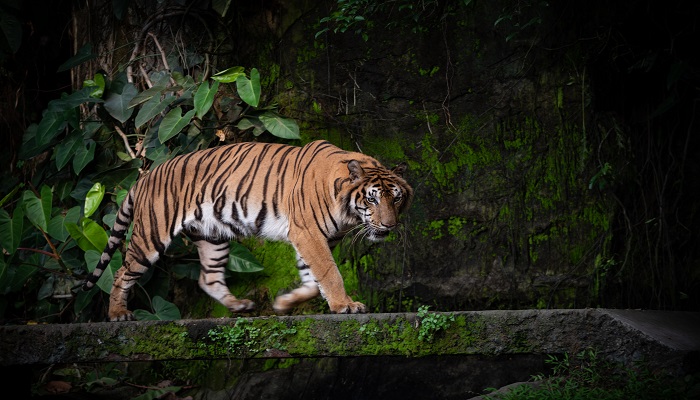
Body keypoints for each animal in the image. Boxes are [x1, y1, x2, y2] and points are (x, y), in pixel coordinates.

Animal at [82, 139, 412, 320]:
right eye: (372, 198)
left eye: (395, 198)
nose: (389, 225)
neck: (348, 214)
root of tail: (147, 175)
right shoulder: (308, 233)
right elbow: (329, 273)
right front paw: (345, 305)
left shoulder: (313, 238)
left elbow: (311, 278)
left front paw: (284, 303)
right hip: (152, 234)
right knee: (121, 272)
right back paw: (118, 314)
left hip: (213, 236)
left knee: (208, 278)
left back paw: (240, 305)